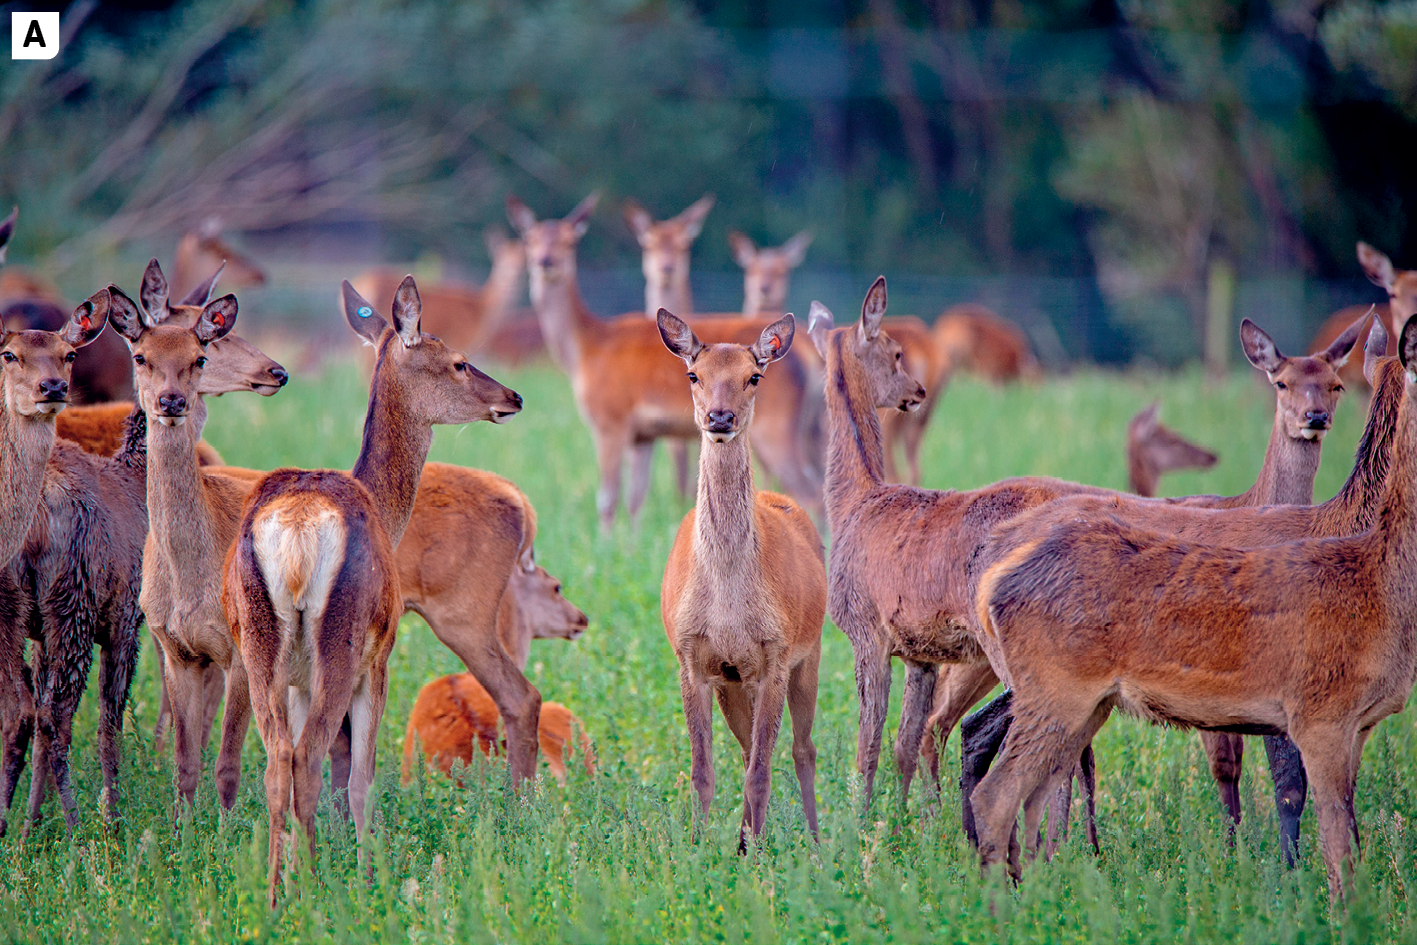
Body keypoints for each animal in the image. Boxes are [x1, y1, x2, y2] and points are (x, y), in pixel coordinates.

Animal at [223, 274, 524, 906]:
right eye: (459, 362)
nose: (512, 396)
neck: (388, 510)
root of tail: (297, 530)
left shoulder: (297, 679)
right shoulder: (379, 659)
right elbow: (362, 779)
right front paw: (368, 876)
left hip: (258, 640)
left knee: (278, 760)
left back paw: (275, 891)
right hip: (344, 640)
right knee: (309, 758)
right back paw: (315, 891)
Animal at [510, 192, 821, 532]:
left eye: (569, 240)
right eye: (529, 239)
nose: (545, 261)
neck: (585, 349)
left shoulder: (611, 419)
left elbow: (608, 497)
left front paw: (605, 540)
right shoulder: (644, 435)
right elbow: (636, 498)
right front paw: (630, 541)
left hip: (776, 425)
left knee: (810, 490)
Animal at [660, 311, 833, 850]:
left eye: (753, 376)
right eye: (693, 375)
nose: (720, 418)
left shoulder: (775, 654)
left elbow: (762, 771)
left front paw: (755, 855)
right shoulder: (692, 659)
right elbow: (703, 770)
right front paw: (699, 850)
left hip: (810, 653)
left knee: (802, 750)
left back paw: (814, 843)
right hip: (735, 682)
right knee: (745, 750)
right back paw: (742, 839)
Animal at [969, 315, 1417, 901]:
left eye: (1337, 385)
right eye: (1281, 383)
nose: (1315, 418)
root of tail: (990, 562)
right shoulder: (1302, 699)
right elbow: (1292, 790)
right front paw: (1283, 874)